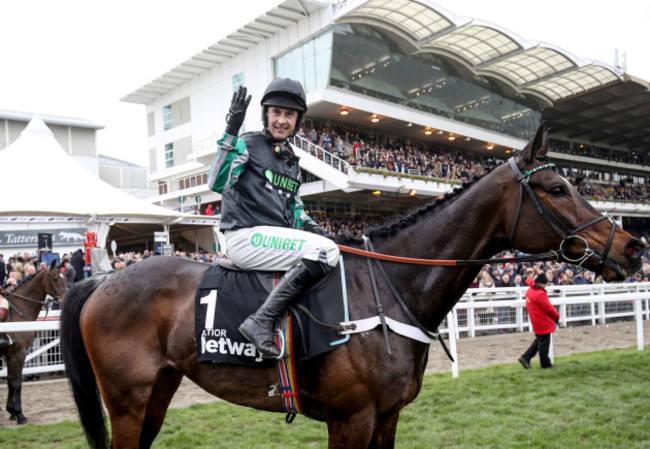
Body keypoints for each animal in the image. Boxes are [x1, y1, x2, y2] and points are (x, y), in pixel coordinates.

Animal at [0, 260, 66, 424]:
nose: (65, 299)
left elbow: (11, 381)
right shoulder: (19, 353)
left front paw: (12, 411)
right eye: (55, 278)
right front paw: (20, 414)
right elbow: (16, 383)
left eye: (66, 277)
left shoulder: (11, 355)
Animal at [59, 126, 644, 448]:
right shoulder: (351, 419)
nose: (632, 247)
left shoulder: (386, 417)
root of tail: (102, 281)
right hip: (128, 401)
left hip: (157, 393)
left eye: (575, 182)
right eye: (558, 188)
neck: (390, 289)